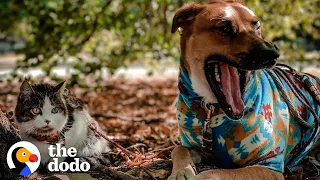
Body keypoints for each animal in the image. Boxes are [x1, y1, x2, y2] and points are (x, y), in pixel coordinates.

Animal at [168, 0, 320, 180]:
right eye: (225, 28)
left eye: (257, 26)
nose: (273, 53)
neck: (211, 108)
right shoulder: (197, 147)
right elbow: (178, 149)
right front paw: (181, 171)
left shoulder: (269, 165)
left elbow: (215, 173)